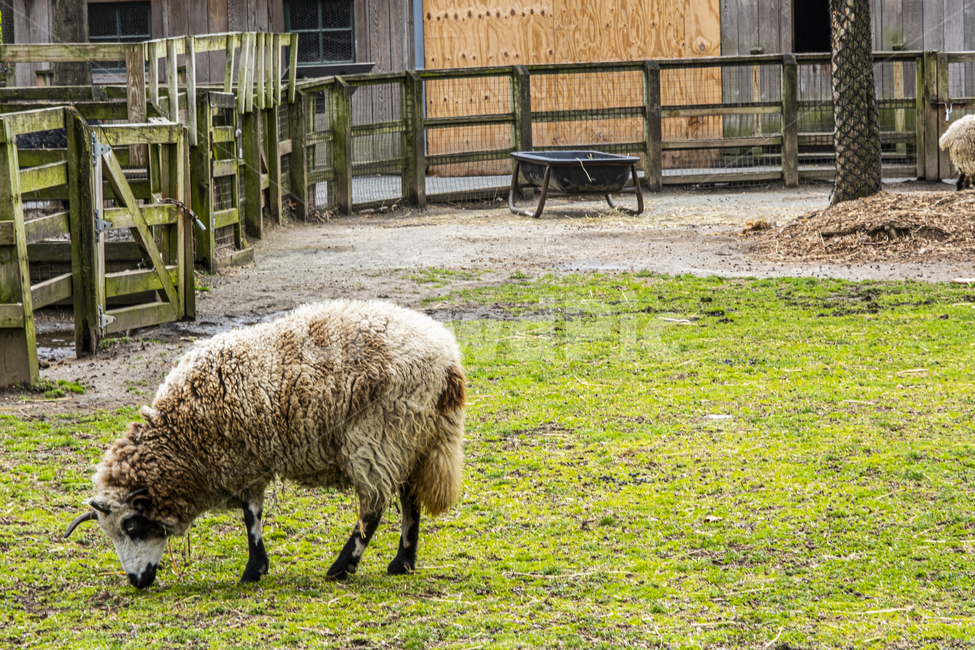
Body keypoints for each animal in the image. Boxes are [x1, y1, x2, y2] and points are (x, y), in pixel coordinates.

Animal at [65, 300, 466, 589]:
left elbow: (250, 516)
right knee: (409, 500)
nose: (137, 581)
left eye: (132, 526)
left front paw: (253, 570)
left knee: (373, 508)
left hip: (376, 435)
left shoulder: (242, 461)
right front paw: (257, 567)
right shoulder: (248, 461)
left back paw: (342, 567)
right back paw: (402, 563)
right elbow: (253, 514)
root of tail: (447, 361)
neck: (183, 440)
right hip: (412, 438)